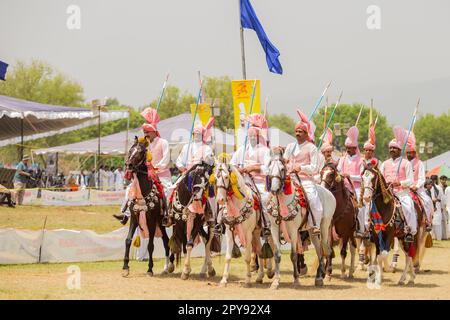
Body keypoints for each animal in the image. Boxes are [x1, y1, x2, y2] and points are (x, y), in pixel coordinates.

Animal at [214, 160, 272, 288]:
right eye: (215, 178)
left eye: (226, 177)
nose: (220, 199)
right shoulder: (230, 233)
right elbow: (228, 257)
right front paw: (223, 280)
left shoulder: (247, 234)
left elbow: (247, 258)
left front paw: (247, 280)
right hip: (256, 233)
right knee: (260, 251)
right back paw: (260, 277)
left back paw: (271, 271)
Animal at [266, 152, 336, 288]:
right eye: (270, 168)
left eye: (282, 169)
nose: (274, 189)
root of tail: (328, 193)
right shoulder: (274, 228)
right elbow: (277, 254)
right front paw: (276, 281)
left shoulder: (293, 230)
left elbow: (293, 254)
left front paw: (296, 280)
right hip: (312, 231)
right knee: (319, 250)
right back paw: (319, 277)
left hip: (325, 226)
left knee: (326, 250)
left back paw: (322, 277)